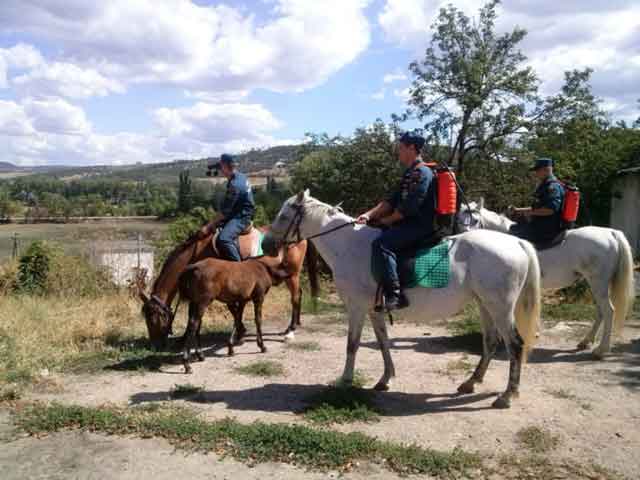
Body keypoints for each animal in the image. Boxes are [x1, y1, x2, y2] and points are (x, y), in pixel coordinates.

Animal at [138, 229, 318, 348]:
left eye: (152, 319)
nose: (155, 345)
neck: (196, 254)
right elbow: (232, 309)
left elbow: (233, 308)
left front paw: (240, 333)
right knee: (299, 294)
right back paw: (294, 324)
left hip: (293, 275)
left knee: (295, 297)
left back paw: (290, 330)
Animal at [264, 189, 540, 406]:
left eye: (284, 216)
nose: (267, 246)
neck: (348, 246)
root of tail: (516, 242)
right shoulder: (374, 310)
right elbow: (383, 342)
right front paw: (385, 379)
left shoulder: (356, 308)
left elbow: (352, 344)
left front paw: (345, 380)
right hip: (485, 305)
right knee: (491, 342)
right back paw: (471, 383)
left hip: (500, 308)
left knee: (515, 344)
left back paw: (507, 395)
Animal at [456, 201, 636, 358]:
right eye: (458, 218)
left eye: (476, 220)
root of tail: (611, 233)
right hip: (594, 283)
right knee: (600, 311)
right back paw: (586, 342)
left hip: (598, 282)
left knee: (608, 311)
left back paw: (601, 350)